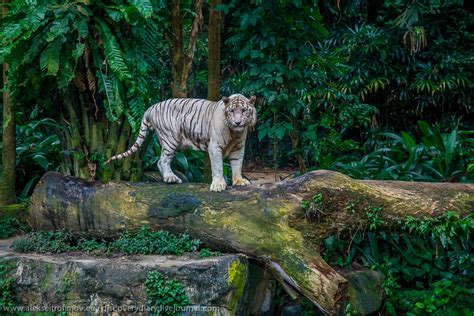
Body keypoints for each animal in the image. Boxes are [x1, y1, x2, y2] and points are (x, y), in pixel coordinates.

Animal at [105, 94, 258, 191]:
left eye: (243, 111)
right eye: (232, 111)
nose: (237, 122)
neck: (235, 133)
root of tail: (151, 107)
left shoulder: (239, 147)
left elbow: (237, 164)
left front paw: (239, 181)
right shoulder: (214, 146)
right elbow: (218, 166)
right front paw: (219, 185)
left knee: (161, 161)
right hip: (170, 139)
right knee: (162, 160)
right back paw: (171, 178)